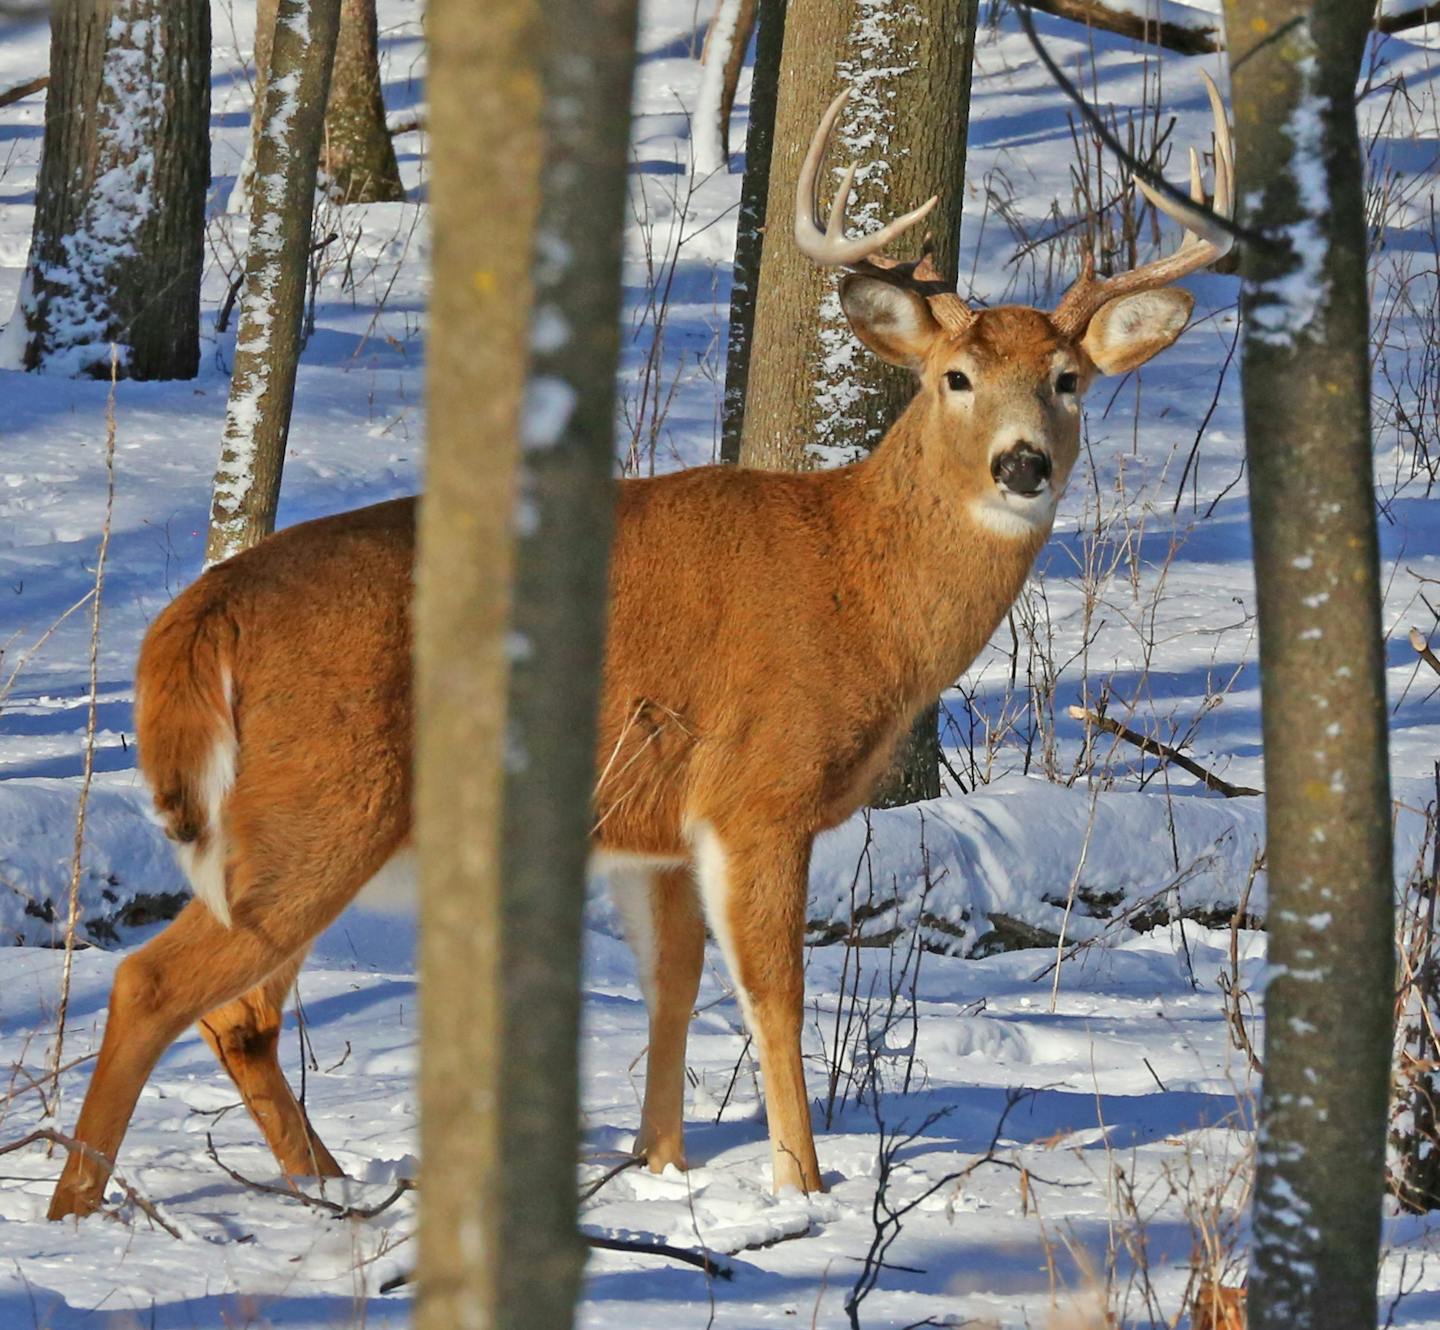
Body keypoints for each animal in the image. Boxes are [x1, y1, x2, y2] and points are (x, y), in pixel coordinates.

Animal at [47, 75, 1238, 1214]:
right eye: (956, 376)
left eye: (1068, 380)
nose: (1022, 463)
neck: (855, 582)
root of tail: (201, 615)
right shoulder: (758, 791)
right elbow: (773, 992)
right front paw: (802, 1186)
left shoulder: (653, 825)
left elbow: (671, 989)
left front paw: (658, 1166)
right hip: (321, 805)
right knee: (154, 985)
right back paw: (83, 1209)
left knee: (238, 1013)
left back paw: (327, 1182)